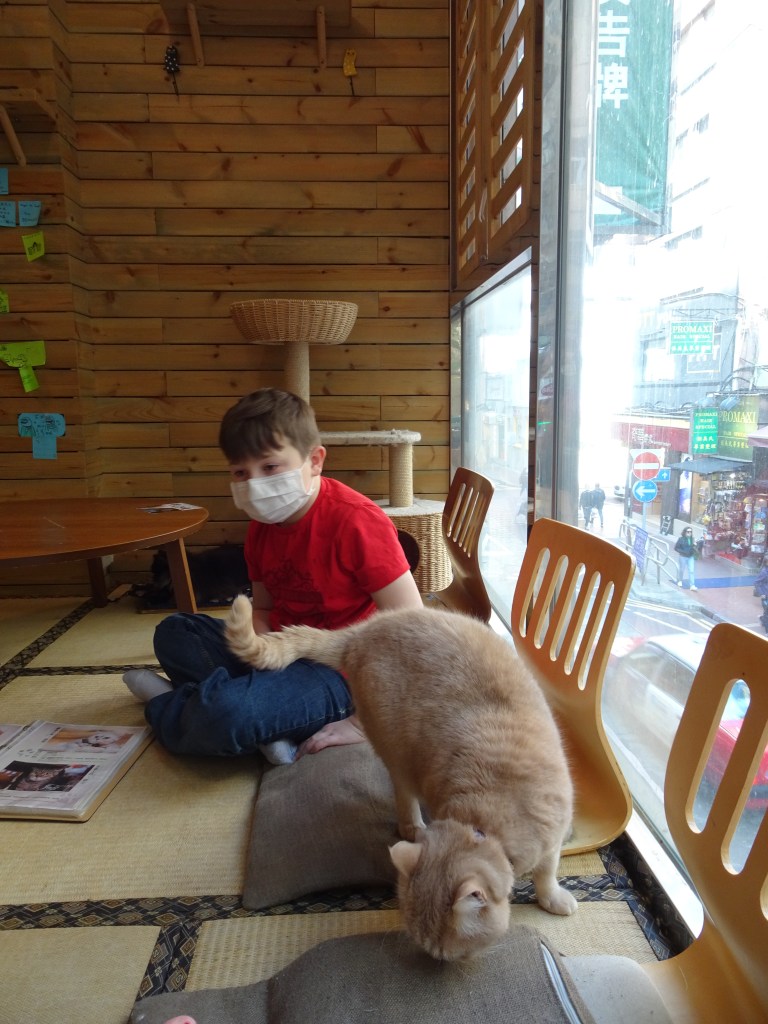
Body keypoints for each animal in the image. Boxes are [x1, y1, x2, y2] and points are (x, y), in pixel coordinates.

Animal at [225, 597, 577, 961]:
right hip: (395, 749)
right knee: (403, 795)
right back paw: (414, 826)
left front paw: (552, 896)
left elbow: (547, 872)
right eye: (439, 955)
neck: (484, 821)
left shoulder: (551, 837)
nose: (437, 964)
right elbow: (546, 872)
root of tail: (362, 632)